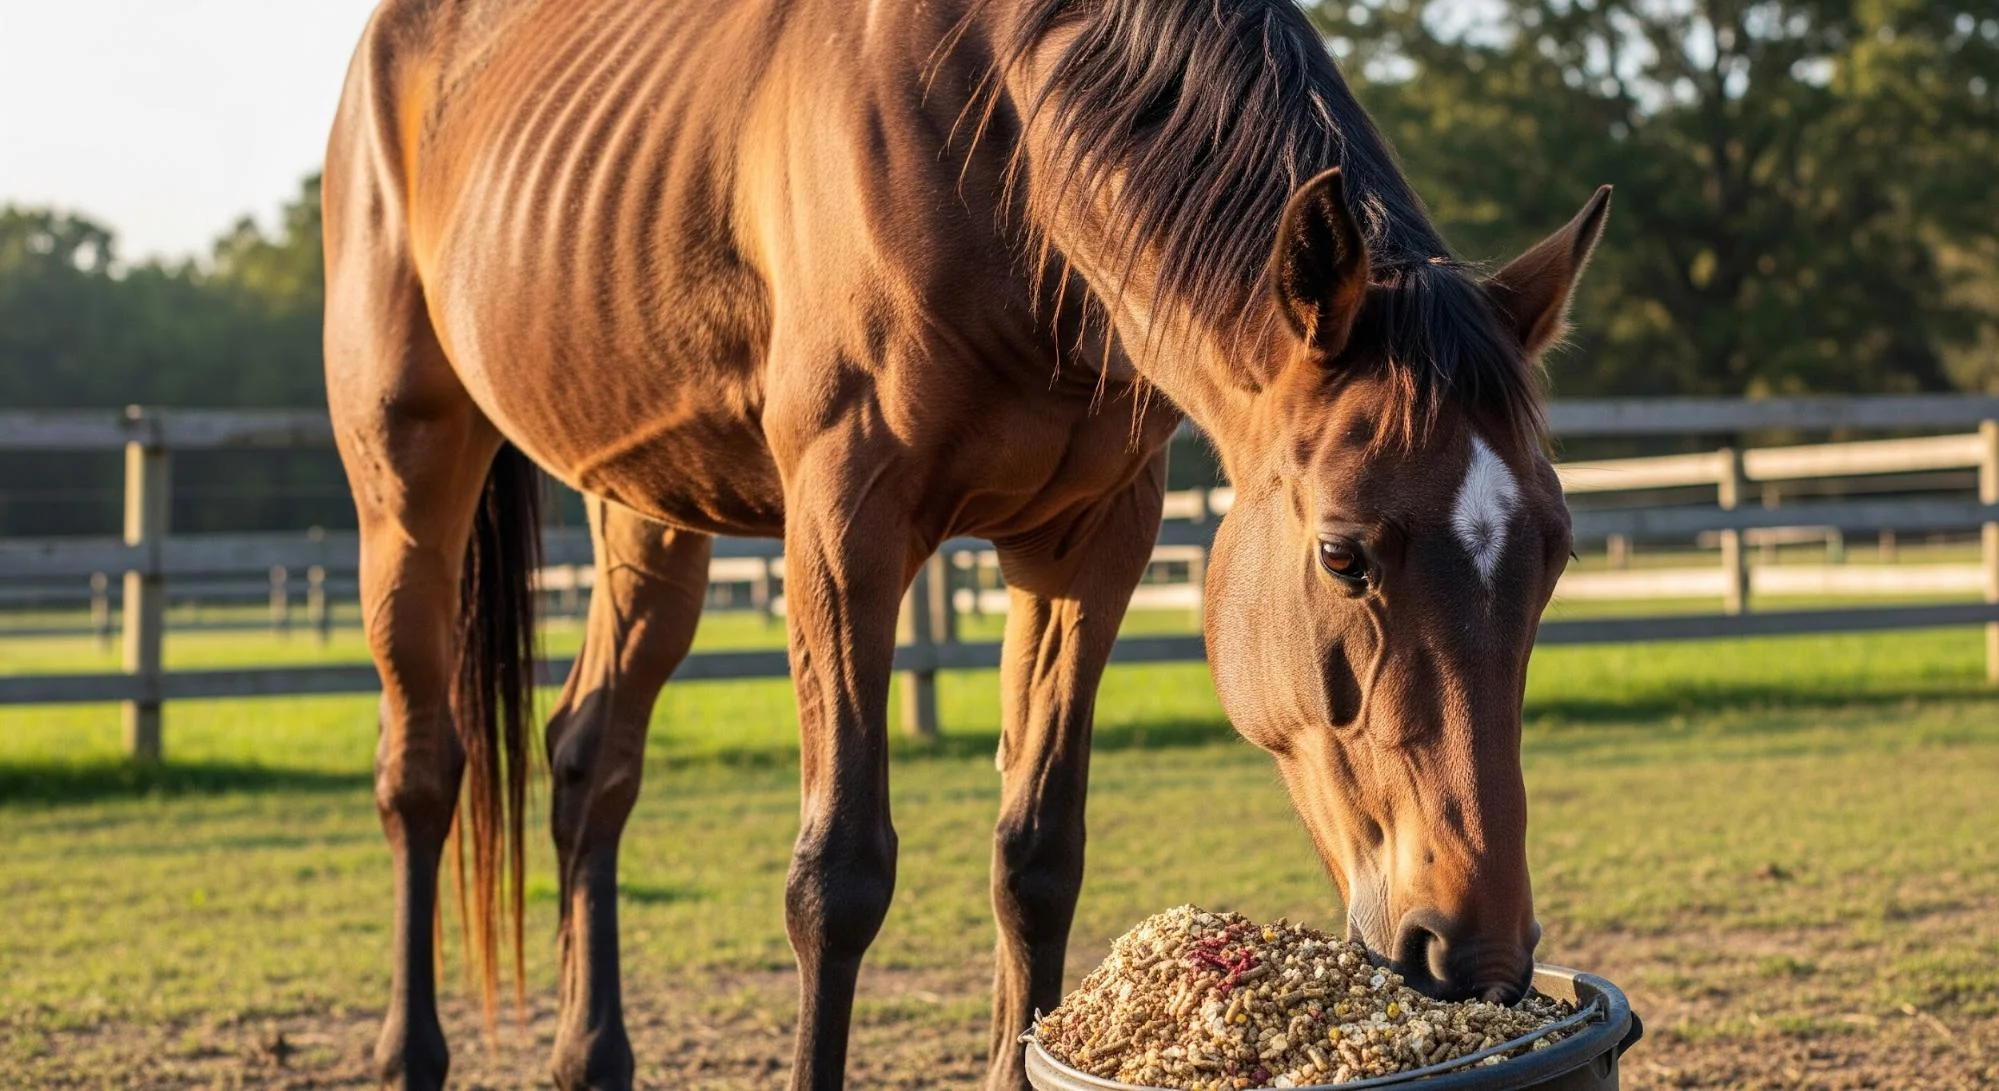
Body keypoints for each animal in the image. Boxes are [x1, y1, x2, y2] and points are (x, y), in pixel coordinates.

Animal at [323, 0, 1608, 1087]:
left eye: (1552, 553)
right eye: (1344, 553)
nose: (1477, 949)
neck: (999, 146)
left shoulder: (1084, 545)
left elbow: (1036, 857)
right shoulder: (845, 527)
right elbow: (835, 877)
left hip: (648, 506)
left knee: (590, 756)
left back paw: (590, 1055)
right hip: (408, 478)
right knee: (421, 767)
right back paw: (409, 1051)